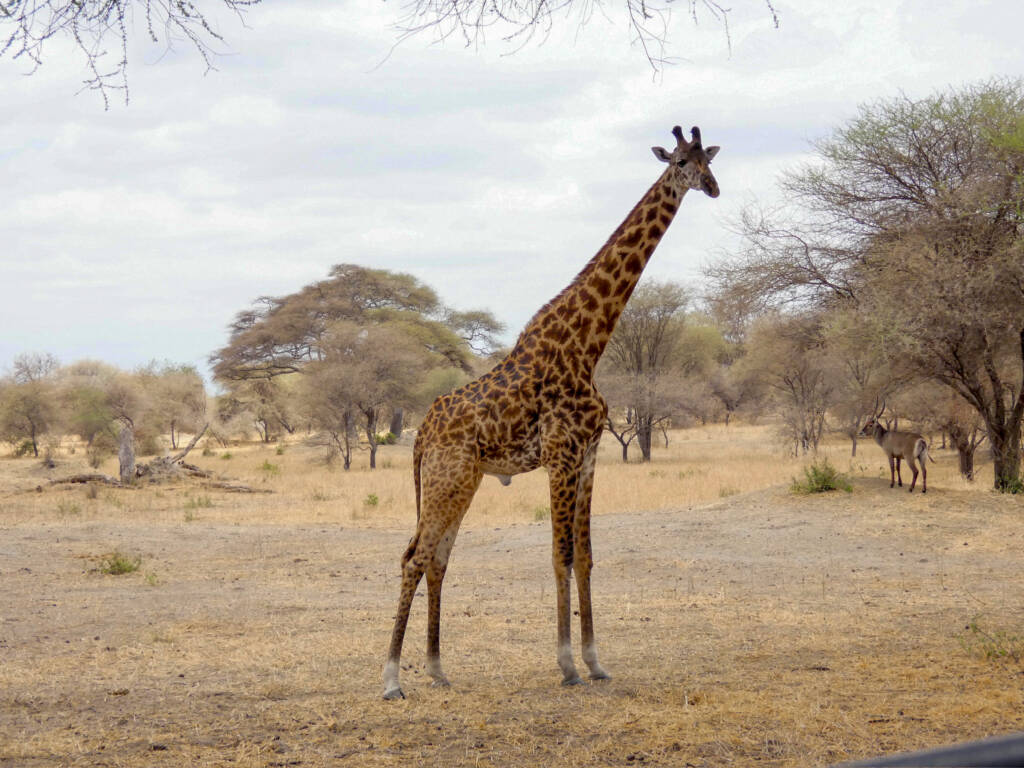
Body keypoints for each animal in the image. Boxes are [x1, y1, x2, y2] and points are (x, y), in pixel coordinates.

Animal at [382, 125, 721, 699]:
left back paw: (437, 669)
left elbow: (585, 557)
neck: (587, 345)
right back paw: (390, 679)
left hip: (460, 481)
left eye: (708, 159)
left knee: (439, 558)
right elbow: (559, 556)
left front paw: (596, 661)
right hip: (448, 479)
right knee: (415, 557)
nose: (713, 187)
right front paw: (566, 666)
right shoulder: (561, 457)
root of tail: (423, 430)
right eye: (679, 161)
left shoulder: (588, 458)